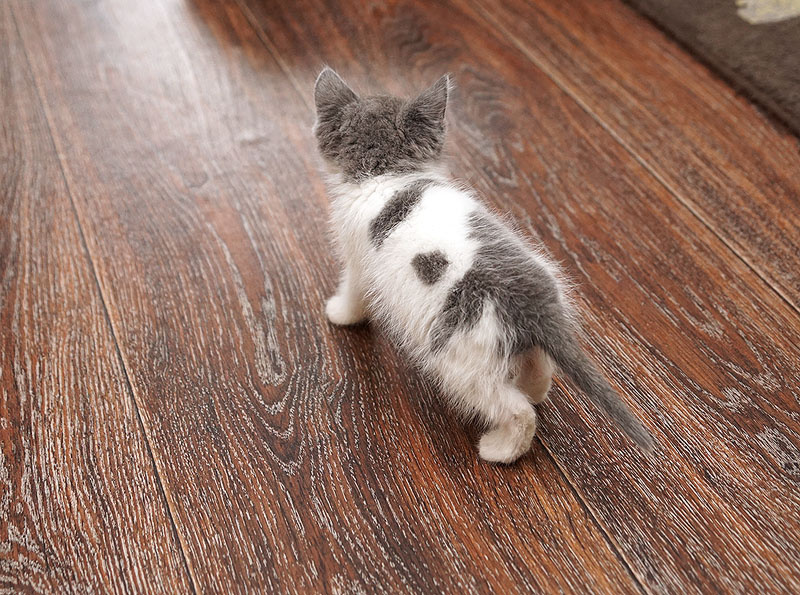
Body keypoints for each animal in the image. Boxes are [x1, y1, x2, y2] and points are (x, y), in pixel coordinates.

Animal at [313, 67, 654, 463]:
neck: (387, 174)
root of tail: (536, 307)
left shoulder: (360, 260)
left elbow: (354, 290)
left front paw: (341, 312)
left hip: (462, 360)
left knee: (515, 409)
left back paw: (501, 448)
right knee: (540, 365)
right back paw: (534, 389)